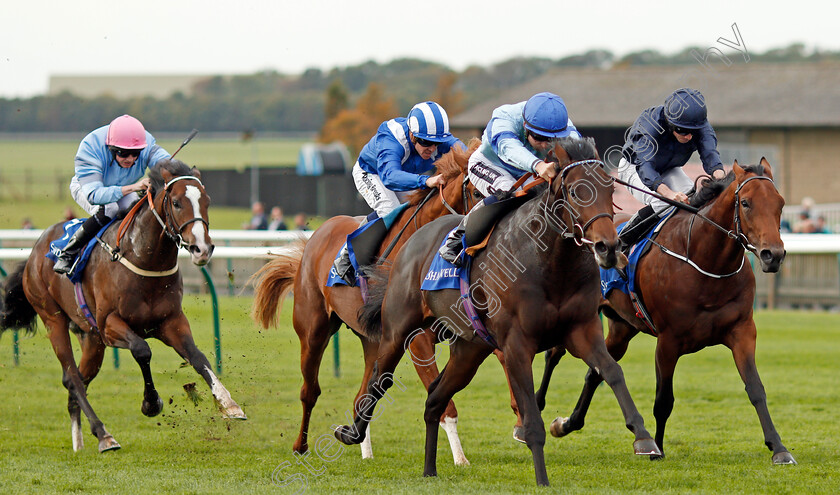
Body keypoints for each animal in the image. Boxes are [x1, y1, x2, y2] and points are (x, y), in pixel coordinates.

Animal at [0, 161, 246, 456]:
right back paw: (104, 435)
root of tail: (34, 251)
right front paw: (151, 403)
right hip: (53, 319)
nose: (202, 249)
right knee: (72, 378)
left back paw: (79, 441)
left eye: (207, 201)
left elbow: (198, 357)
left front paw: (229, 404)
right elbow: (142, 350)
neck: (144, 258)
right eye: (176, 203)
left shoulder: (171, 321)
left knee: (79, 380)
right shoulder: (109, 325)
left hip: (91, 339)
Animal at [248, 141, 480, 464]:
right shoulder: (417, 338)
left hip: (372, 338)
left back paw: (363, 449)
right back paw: (301, 445)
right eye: (478, 192)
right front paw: (461, 459)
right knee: (310, 391)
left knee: (362, 392)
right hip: (313, 330)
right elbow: (443, 401)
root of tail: (313, 241)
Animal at [338, 139, 660, 488]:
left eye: (610, 188)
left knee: (435, 398)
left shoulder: (582, 330)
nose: (609, 248)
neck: (550, 263)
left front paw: (644, 438)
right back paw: (351, 433)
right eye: (576, 192)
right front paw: (542, 480)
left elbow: (611, 371)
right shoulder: (517, 344)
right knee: (379, 379)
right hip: (399, 331)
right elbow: (531, 418)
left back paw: (429, 469)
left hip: (469, 349)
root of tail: (413, 241)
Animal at [548, 159, 796, 464]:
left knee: (596, 371)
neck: (706, 262)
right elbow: (663, 400)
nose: (773, 255)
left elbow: (756, 389)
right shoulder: (668, 341)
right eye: (746, 203)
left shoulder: (742, 331)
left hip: (622, 328)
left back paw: (567, 424)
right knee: (554, 354)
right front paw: (656, 448)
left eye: (780, 203)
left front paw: (779, 448)